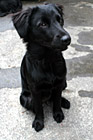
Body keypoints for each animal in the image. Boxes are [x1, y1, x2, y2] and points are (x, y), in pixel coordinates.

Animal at [12, 3, 71, 132]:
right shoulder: (35, 89)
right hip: (25, 99)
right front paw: (39, 121)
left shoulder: (59, 82)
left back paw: (64, 102)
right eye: (43, 24)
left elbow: (57, 100)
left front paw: (58, 113)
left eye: (60, 20)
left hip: (65, 83)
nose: (67, 39)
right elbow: (38, 107)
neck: (47, 60)